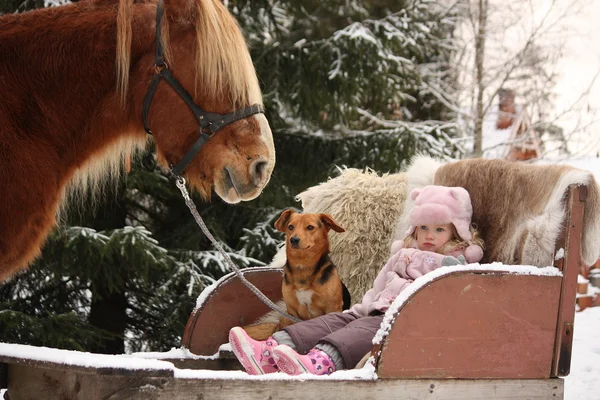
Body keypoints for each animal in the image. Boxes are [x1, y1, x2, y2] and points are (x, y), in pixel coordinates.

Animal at [244, 209, 352, 340]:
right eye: (290, 227)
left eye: (310, 227)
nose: (293, 240)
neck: (302, 265)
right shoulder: (292, 311)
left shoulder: (332, 308)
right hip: (285, 318)